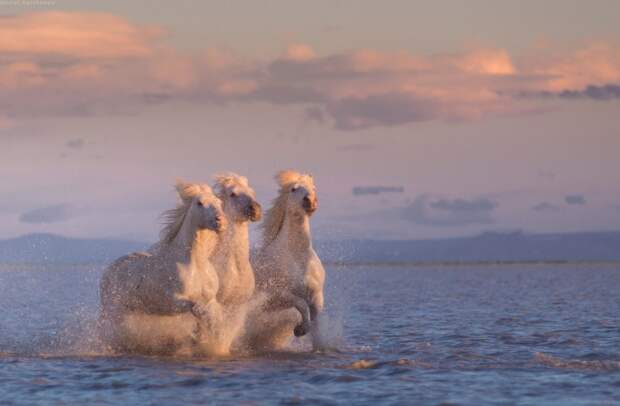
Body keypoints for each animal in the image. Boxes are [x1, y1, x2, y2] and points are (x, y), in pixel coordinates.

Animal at [99, 181, 228, 356]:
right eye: (199, 203)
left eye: (219, 202)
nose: (220, 221)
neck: (195, 264)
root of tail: (108, 272)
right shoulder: (173, 301)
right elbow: (197, 308)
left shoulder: (211, 299)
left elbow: (214, 317)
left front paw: (216, 344)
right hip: (114, 311)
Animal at [246, 170, 326, 350]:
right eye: (294, 189)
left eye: (314, 188)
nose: (310, 201)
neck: (297, 257)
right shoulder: (277, 296)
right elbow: (301, 305)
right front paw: (300, 329)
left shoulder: (316, 295)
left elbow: (317, 321)